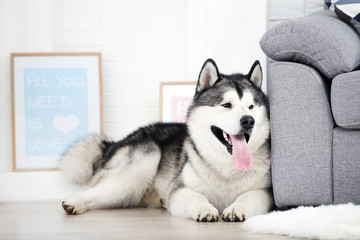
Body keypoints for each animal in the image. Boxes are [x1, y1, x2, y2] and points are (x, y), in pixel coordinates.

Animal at [60, 59, 272, 222]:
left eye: (251, 107)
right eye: (227, 105)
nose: (248, 121)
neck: (226, 168)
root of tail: (115, 142)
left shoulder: (265, 192)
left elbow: (248, 196)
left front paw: (237, 207)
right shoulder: (178, 190)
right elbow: (196, 197)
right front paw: (204, 208)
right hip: (143, 164)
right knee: (97, 191)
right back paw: (74, 201)